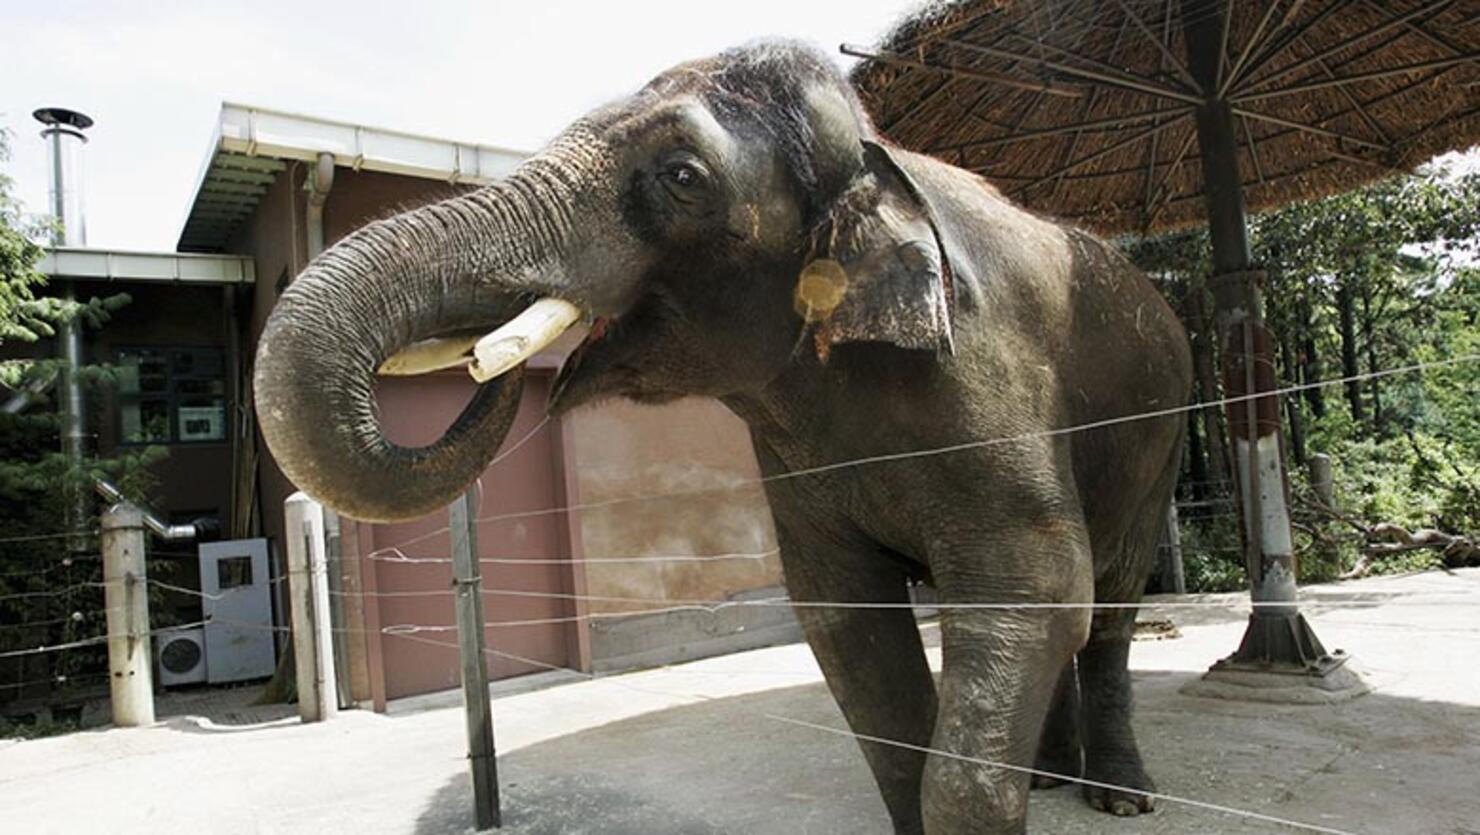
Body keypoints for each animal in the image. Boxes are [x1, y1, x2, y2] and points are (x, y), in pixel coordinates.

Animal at [254, 41, 1191, 835]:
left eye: (681, 175)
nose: (495, 363)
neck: (875, 156)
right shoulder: (794, 456)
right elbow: (846, 627)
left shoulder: (991, 376)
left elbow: (1035, 586)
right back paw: (1049, 775)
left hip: (1160, 436)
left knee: (1108, 602)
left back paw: (1118, 795)